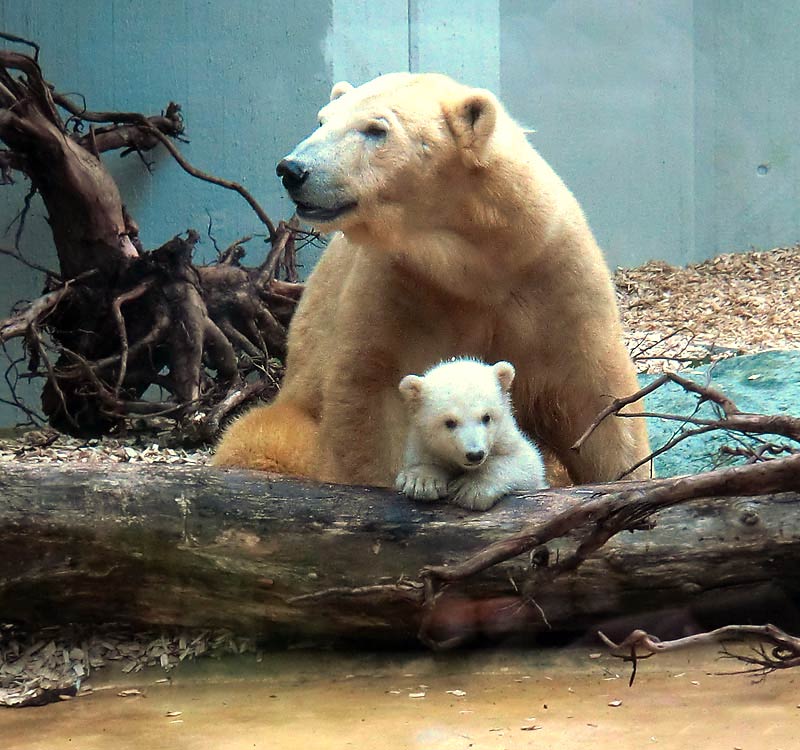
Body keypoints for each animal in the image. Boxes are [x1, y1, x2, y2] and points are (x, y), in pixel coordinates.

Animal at [212, 73, 648, 484]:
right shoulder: (403, 286)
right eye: (322, 120)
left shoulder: (554, 274)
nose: (293, 170)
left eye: (376, 129)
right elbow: (372, 399)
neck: (476, 260)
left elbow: (595, 397)